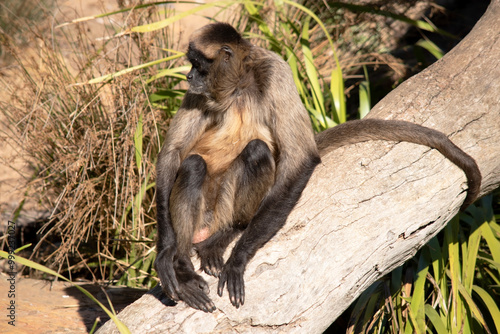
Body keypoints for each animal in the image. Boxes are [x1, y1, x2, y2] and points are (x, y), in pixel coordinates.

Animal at [155, 22, 480, 312]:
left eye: (198, 65)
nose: (188, 76)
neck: (236, 86)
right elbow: (172, 154)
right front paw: (167, 254)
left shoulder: (275, 71)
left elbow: (301, 158)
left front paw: (239, 258)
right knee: (193, 165)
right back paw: (182, 262)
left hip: (223, 207)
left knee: (256, 152)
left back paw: (228, 233)